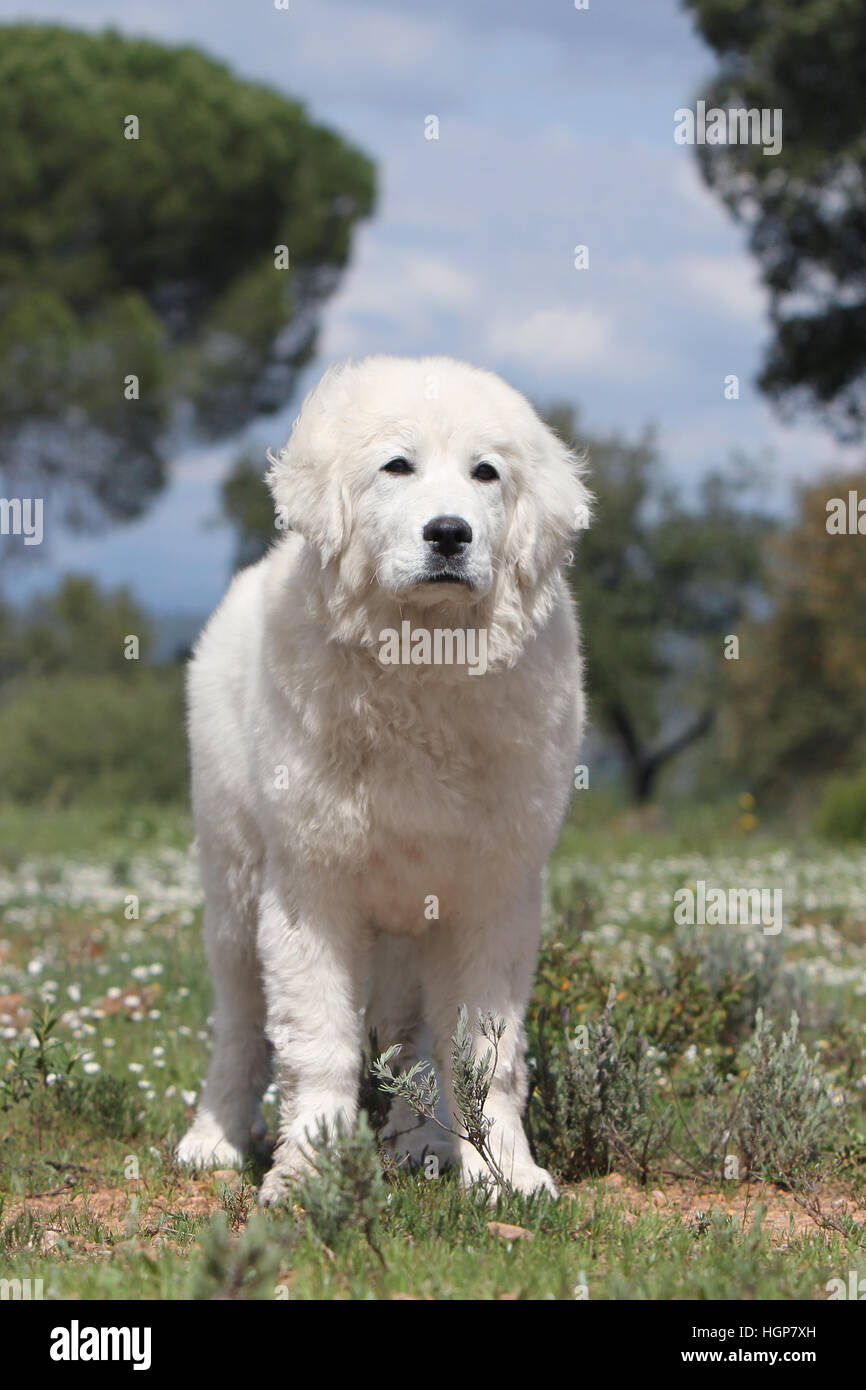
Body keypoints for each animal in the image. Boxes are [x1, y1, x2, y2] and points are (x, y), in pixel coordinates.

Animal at [179, 353, 592, 1200]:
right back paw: (213, 1138)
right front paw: (310, 1176)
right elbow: (317, 1046)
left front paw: (505, 1174)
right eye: (397, 466)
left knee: (413, 1040)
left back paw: (421, 1144)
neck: (421, 664)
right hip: (234, 892)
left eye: (486, 473)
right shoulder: (310, 890)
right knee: (240, 1030)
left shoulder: (492, 897)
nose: (449, 533)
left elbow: (487, 1057)